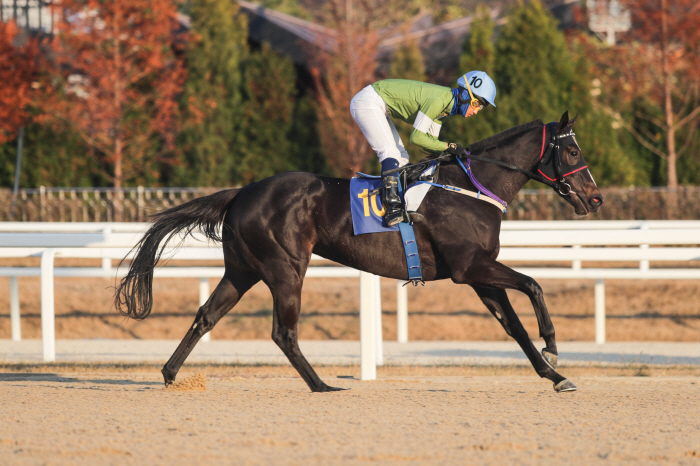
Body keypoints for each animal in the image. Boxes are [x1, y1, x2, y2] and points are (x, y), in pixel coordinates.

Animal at [113, 113, 600, 394]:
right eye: (573, 149)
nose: (595, 199)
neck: (470, 186)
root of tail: (241, 193)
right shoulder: (471, 267)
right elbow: (533, 284)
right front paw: (553, 346)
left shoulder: (479, 276)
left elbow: (514, 327)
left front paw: (555, 375)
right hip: (286, 268)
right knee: (283, 332)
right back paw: (322, 385)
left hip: (243, 269)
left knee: (205, 316)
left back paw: (170, 374)